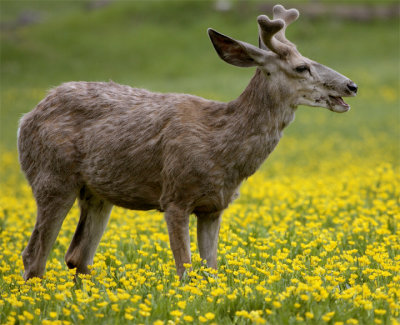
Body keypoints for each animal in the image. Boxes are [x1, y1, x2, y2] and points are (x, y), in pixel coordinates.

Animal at [18, 3, 356, 280]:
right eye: (301, 67)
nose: (351, 85)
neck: (220, 144)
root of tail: (27, 117)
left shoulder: (214, 206)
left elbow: (212, 270)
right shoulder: (175, 196)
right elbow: (185, 270)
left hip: (97, 193)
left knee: (77, 256)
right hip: (52, 179)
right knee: (34, 256)